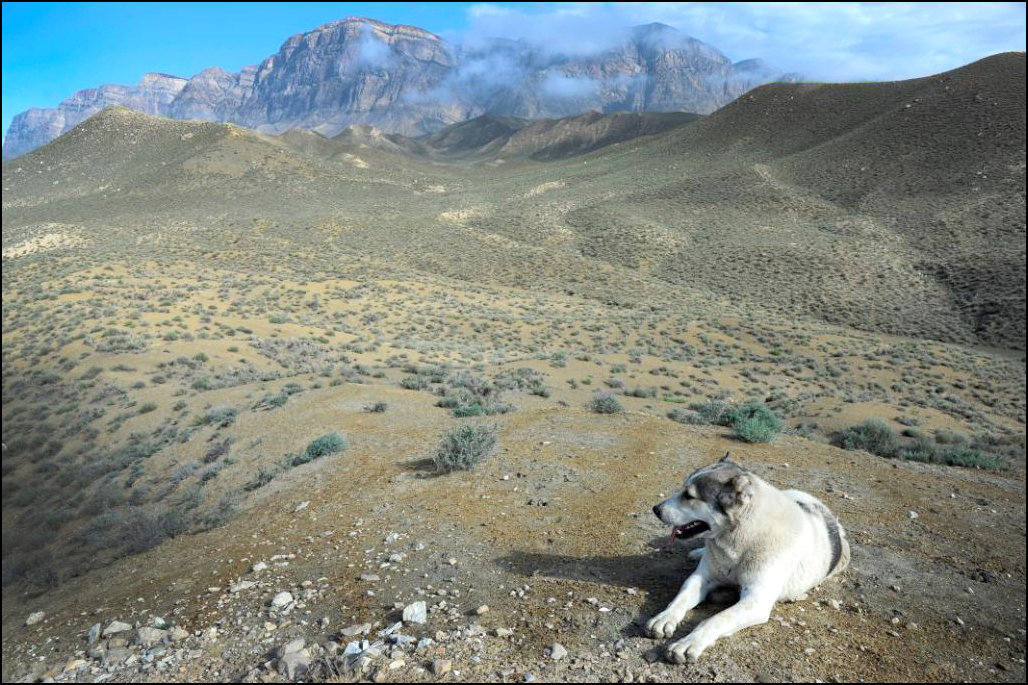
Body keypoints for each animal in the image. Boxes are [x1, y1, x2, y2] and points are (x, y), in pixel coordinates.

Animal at [645, 452, 847, 662]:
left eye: (689, 496)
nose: (655, 509)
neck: (742, 538)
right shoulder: (702, 577)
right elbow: (681, 598)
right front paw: (665, 617)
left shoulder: (755, 601)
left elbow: (715, 619)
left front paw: (690, 642)